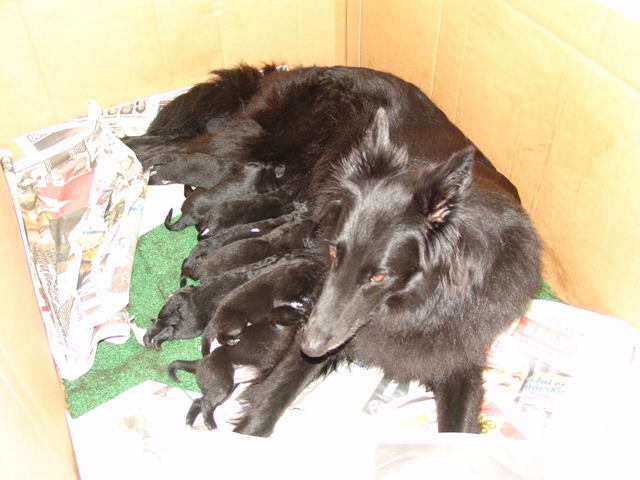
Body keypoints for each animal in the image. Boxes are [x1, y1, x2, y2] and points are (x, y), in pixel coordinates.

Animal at [127, 64, 544, 438]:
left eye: (378, 275)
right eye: (334, 255)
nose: (309, 342)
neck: (420, 304)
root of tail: (286, 70)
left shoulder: (460, 359)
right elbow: (268, 405)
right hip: (241, 146)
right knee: (158, 146)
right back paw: (124, 157)